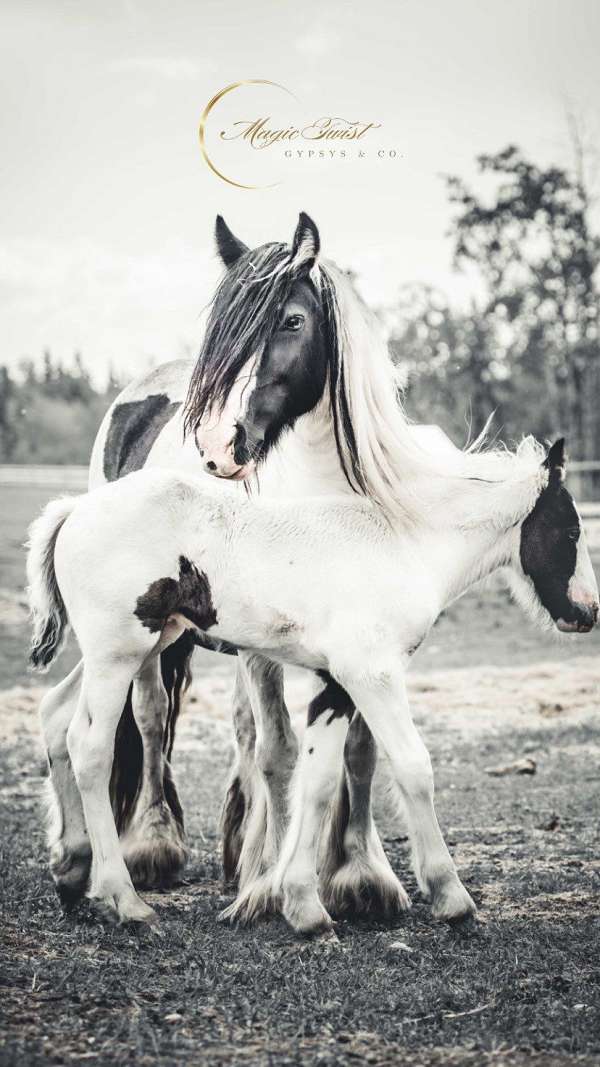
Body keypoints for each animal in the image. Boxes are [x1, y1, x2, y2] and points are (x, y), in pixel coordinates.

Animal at [30, 428, 597, 930]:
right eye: (572, 531)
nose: (587, 612)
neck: (403, 543)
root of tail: (74, 509)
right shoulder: (372, 673)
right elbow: (414, 767)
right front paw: (450, 896)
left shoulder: (336, 683)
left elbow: (320, 780)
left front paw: (302, 904)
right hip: (119, 652)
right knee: (89, 746)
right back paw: (123, 900)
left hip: (137, 645)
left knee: (55, 717)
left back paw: (71, 872)